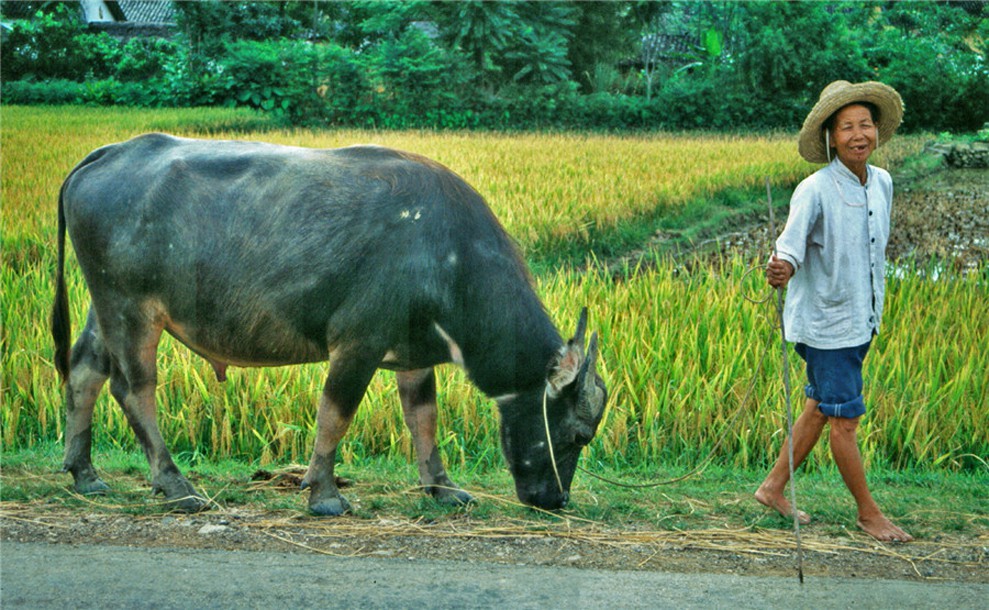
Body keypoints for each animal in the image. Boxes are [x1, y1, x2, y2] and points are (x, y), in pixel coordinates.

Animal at [56, 134, 608, 512]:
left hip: (104, 307)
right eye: (578, 434)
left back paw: (85, 474)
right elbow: (335, 413)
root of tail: (112, 152)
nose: (556, 499)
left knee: (85, 371)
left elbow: (423, 419)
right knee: (134, 389)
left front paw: (442, 488)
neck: (446, 257)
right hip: (129, 309)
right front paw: (322, 493)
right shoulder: (357, 344)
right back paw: (175, 486)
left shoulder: (413, 355)